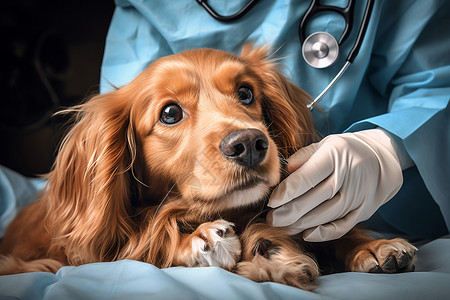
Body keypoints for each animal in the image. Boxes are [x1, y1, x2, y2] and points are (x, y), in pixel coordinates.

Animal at [0, 45, 416, 290]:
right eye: (170, 113)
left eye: (246, 93)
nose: (249, 144)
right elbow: (149, 239)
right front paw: (197, 240)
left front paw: (372, 245)